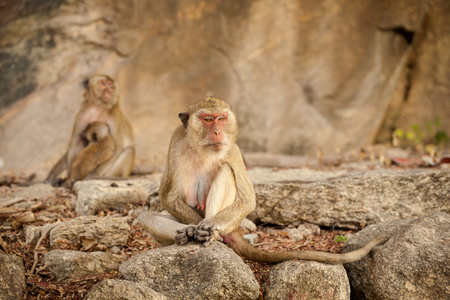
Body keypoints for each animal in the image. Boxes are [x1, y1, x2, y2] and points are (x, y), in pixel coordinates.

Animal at [139, 97, 388, 264]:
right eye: (207, 119)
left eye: (221, 119)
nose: (218, 132)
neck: (203, 149)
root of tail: (236, 230)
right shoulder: (175, 143)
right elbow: (169, 198)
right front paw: (192, 230)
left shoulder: (233, 150)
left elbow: (247, 199)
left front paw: (208, 228)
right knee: (147, 216)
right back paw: (187, 235)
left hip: (232, 222)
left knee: (226, 171)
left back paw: (213, 236)